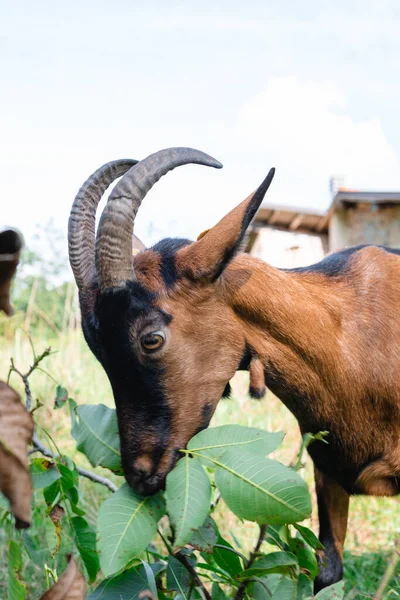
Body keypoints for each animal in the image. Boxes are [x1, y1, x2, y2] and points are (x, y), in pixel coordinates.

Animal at [68, 148, 400, 588]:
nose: (140, 475)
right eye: (96, 347)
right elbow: (328, 573)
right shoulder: (327, 469)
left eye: (151, 338)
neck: (351, 335)